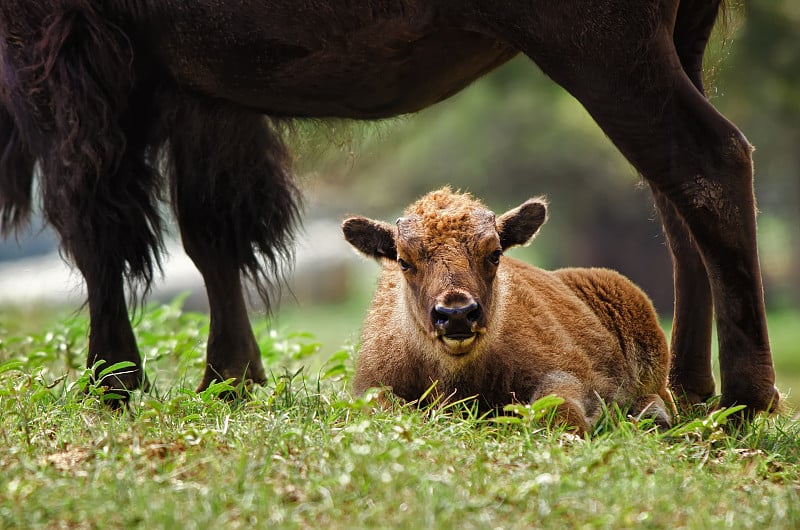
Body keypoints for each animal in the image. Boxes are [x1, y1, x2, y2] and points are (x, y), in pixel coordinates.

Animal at [344, 188, 676, 432]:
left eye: (495, 254)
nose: (456, 314)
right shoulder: (372, 384)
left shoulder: (567, 372)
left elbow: (558, 405)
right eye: (403, 261)